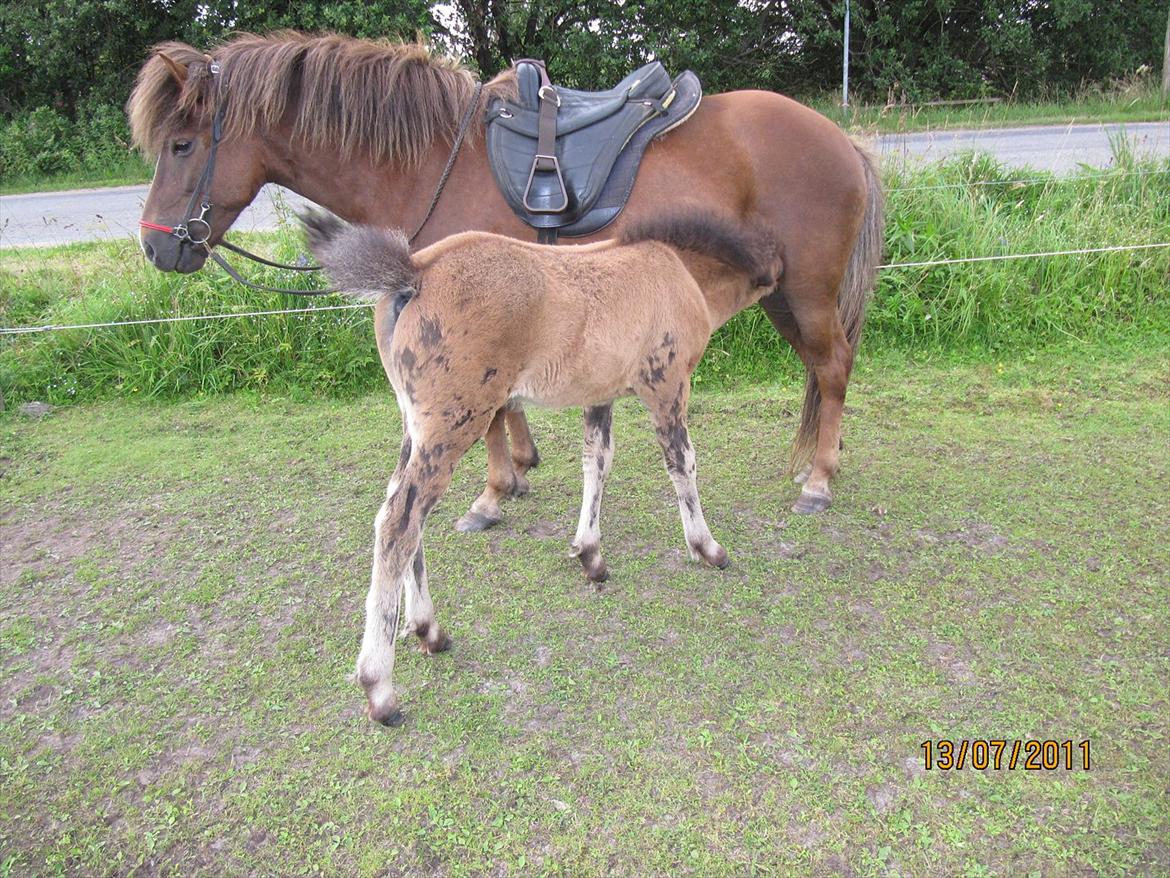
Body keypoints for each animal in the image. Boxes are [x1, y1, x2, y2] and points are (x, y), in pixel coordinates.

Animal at [128, 31, 879, 519]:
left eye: (182, 144)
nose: (158, 248)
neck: (433, 163)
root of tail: (843, 140)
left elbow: (489, 411)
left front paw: (491, 493)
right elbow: (507, 402)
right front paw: (520, 467)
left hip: (807, 291)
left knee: (834, 365)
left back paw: (819, 481)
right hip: (781, 293)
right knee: (819, 370)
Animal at [301, 209, 781, 725]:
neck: (678, 272)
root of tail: (416, 271)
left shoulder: (600, 393)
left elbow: (597, 461)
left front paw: (591, 555)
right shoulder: (666, 385)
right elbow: (682, 462)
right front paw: (707, 548)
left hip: (416, 426)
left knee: (406, 516)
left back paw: (429, 631)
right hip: (454, 422)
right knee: (399, 523)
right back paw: (381, 688)